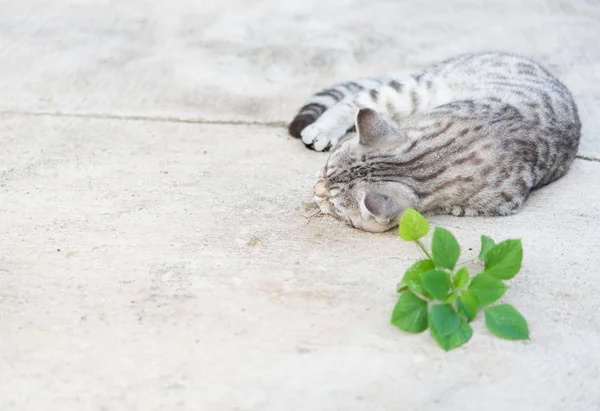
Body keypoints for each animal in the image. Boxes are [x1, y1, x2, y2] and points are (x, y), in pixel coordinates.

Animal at [288, 50, 580, 235]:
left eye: (335, 206)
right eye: (325, 169)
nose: (315, 189)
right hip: (410, 90)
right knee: (356, 100)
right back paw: (322, 128)